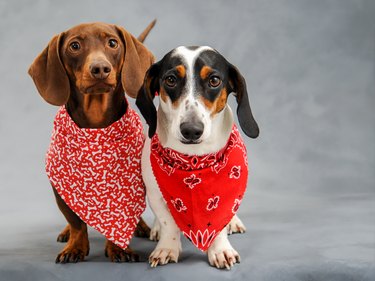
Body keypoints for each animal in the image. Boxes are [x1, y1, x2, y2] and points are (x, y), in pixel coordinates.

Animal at [28, 21, 156, 262]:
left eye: (113, 43)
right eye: (74, 46)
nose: (100, 69)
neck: (96, 126)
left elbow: (124, 216)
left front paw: (119, 248)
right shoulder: (60, 188)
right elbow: (76, 222)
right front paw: (75, 247)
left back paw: (142, 227)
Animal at [137, 46, 260, 270]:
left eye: (214, 80)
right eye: (170, 79)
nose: (191, 130)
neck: (194, 161)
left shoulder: (223, 198)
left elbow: (219, 224)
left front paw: (220, 250)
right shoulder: (155, 194)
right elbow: (168, 222)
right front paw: (167, 247)